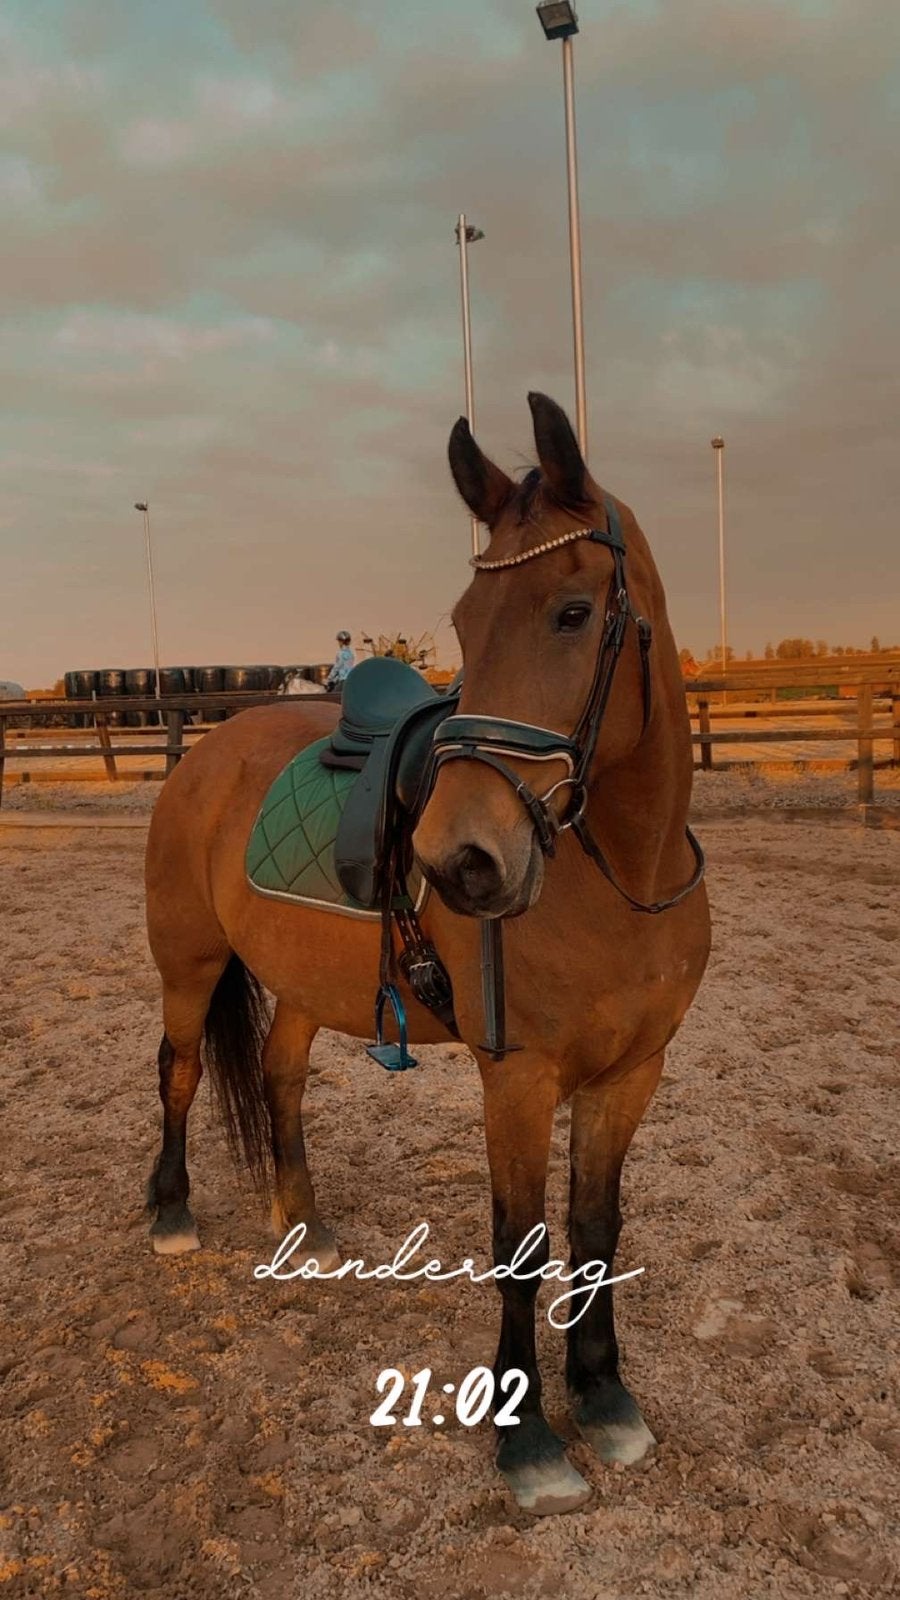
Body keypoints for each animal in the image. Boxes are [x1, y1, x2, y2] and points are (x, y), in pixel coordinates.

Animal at [144, 392, 711, 1516]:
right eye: (463, 621)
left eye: (571, 612)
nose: (462, 861)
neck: (622, 875)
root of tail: (206, 750)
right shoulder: (520, 1078)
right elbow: (521, 1248)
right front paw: (528, 1438)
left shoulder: (631, 1072)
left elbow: (599, 1232)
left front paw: (605, 1397)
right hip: (187, 966)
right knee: (179, 1071)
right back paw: (173, 1211)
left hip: (305, 983)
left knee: (278, 1076)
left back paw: (305, 1224)